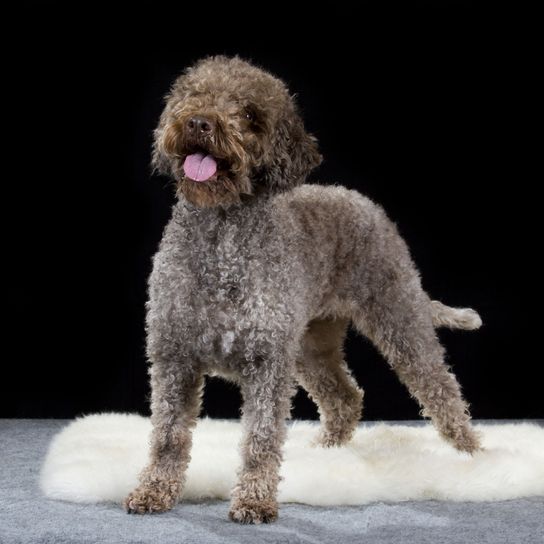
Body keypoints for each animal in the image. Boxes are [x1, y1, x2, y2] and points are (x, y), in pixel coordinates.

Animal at [125, 55, 482, 524]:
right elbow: (168, 435)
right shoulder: (174, 358)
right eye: (194, 94)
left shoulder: (267, 364)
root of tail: (359, 199)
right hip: (310, 345)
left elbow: (260, 438)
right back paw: (328, 453)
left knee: (441, 387)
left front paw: (255, 500)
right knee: (345, 396)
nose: (200, 123)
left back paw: (472, 455)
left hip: (397, 315)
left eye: (249, 115)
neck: (220, 240)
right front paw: (154, 491)